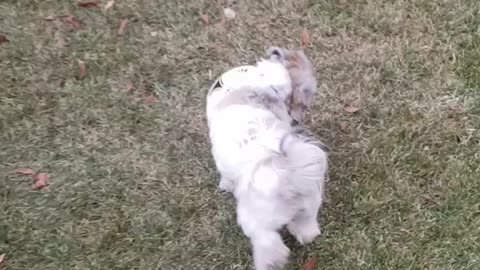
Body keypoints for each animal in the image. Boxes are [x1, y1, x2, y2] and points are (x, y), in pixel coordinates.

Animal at [205, 47, 326, 268]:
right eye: (305, 94)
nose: (299, 117)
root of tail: (286, 180)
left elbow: (225, 176)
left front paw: (224, 185)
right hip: (308, 205)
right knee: (307, 228)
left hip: (254, 219)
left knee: (267, 242)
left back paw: (269, 262)